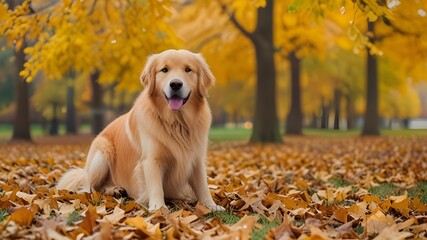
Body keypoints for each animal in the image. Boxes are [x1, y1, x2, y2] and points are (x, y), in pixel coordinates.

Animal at [57, 49, 224, 211]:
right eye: (164, 70)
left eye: (188, 69)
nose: (175, 84)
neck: (176, 122)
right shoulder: (151, 160)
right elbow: (156, 187)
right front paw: (158, 208)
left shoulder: (197, 158)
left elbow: (203, 186)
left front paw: (211, 205)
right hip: (102, 154)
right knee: (89, 188)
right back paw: (113, 190)